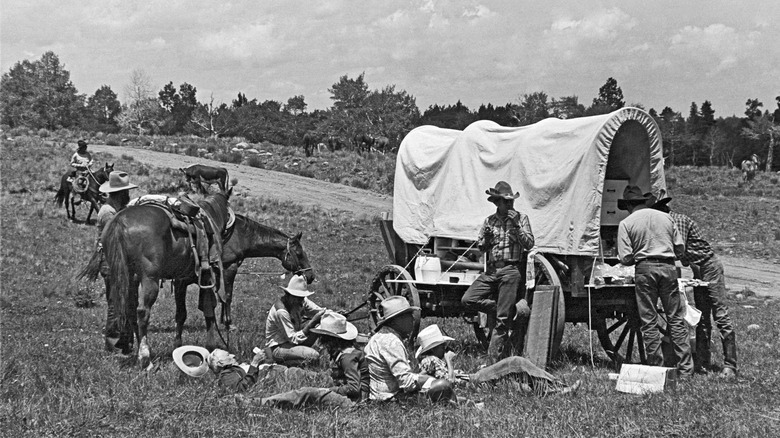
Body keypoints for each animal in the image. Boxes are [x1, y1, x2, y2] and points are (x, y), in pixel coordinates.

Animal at [81, 190, 235, 368]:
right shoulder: (206, 276)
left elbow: (181, 314)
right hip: (150, 279)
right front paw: (210, 347)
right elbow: (208, 310)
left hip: (128, 278)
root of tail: (120, 221)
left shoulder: (181, 280)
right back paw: (145, 359)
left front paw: (178, 346)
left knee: (131, 311)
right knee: (142, 312)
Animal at [172, 214, 316, 348]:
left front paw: (224, 321)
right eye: (299, 254)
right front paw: (228, 324)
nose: (311, 276)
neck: (241, 236)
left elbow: (221, 298)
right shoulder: (228, 269)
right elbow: (227, 297)